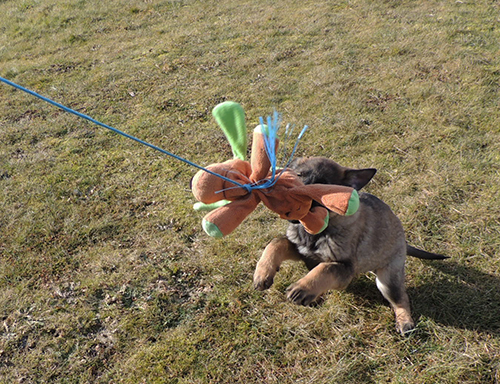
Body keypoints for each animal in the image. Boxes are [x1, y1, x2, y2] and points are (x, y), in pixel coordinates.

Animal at [252, 156, 448, 332]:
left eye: (323, 186)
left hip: (388, 279)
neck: (319, 229)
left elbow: (325, 268)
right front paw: (262, 273)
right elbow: (276, 242)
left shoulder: (345, 268)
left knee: (401, 298)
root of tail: (404, 242)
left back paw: (405, 321)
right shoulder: (303, 251)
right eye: (298, 175)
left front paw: (302, 288)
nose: (293, 198)